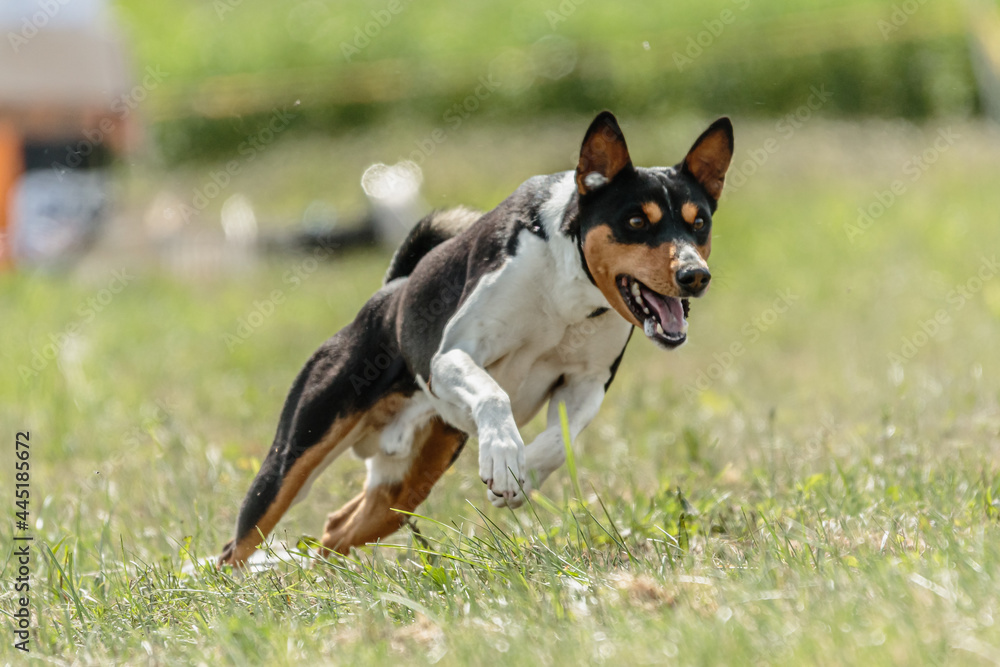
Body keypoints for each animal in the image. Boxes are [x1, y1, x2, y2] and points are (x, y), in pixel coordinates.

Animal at [219, 112, 736, 568]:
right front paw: (505, 458)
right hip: (293, 457)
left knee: (335, 529)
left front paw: (523, 473)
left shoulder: (586, 383)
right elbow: (493, 394)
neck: (567, 289)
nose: (694, 276)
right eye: (636, 222)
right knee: (239, 544)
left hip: (406, 482)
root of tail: (388, 293)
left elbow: (562, 440)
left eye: (699, 223)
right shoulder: (451, 357)